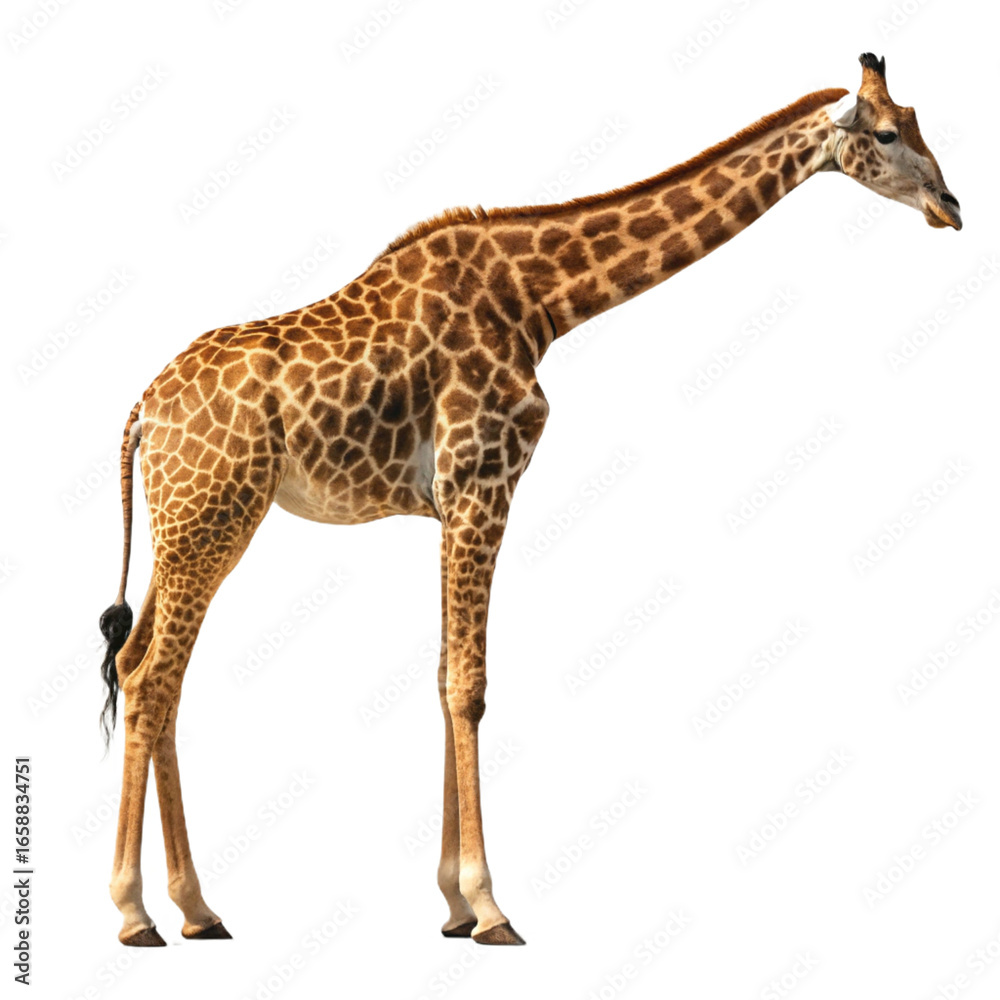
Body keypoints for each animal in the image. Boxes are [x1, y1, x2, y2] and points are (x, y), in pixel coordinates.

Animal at [97, 53, 960, 947]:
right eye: (887, 133)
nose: (952, 207)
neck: (542, 302)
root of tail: (142, 412)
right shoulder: (484, 481)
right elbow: (469, 686)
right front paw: (489, 908)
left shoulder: (456, 501)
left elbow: (445, 675)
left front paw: (451, 906)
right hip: (213, 515)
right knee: (155, 676)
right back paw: (135, 912)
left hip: (188, 522)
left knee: (144, 666)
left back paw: (197, 910)